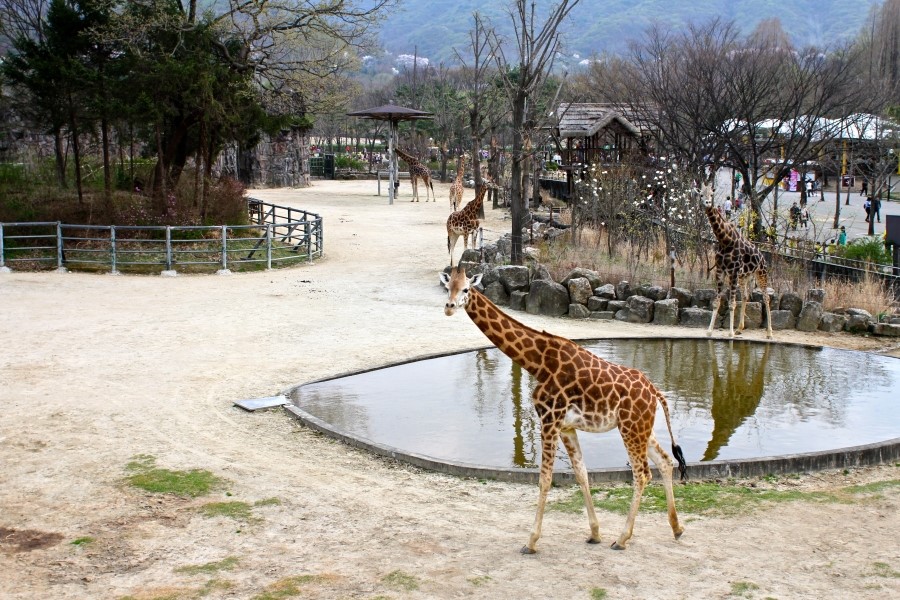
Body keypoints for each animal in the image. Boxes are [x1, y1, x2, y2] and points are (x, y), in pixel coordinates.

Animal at [441, 264, 687, 553]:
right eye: (448, 287)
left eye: (466, 289)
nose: (449, 307)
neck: (537, 362)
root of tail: (655, 392)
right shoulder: (566, 426)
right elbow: (581, 473)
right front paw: (594, 533)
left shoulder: (549, 419)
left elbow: (545, 478)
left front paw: (531, 542)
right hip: (642, 427)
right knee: (665, 461)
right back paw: (676, 528)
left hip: (631, 428)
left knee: (642, 473)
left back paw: (623, 538)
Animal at [701, 184, 774, 339]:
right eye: (701, 194)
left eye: (711, 194)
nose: (707, 203)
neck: (725, 240)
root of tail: (763, 256)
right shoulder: (720, 270)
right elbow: (716, 302)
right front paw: (709, 331)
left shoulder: (733, 271)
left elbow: (732, 303)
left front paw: (730, 333)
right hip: (744, 276)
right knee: (745, 296)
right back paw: (740, 328)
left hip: (761, 274)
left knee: (766, 298)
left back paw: (770, 333)